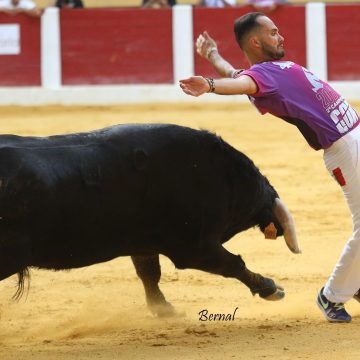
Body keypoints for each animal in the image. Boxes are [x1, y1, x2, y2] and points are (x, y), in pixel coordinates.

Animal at [0, 123, 300, 316]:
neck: (222, 175)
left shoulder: (144, 241)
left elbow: (148, 273)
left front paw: (163, 309)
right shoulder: (193, 247)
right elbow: (233, 264)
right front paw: (271, 288)